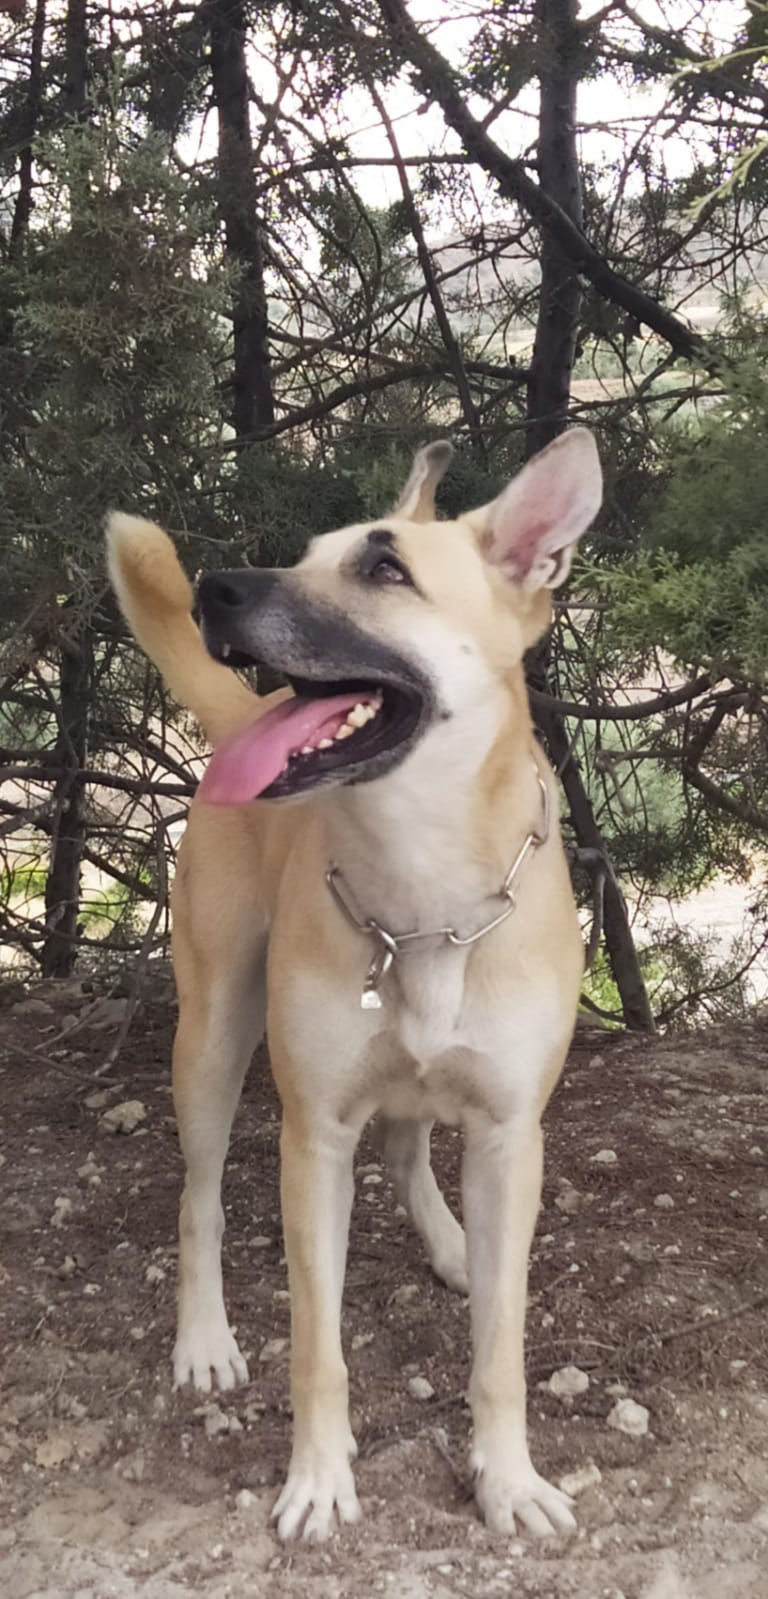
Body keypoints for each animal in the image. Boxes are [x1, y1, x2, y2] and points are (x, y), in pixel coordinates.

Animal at [106, 427, 602, 1543]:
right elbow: (317, 1348)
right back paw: (204, 1339)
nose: (217, 589)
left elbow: (501, 1349)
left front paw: (509, 1479)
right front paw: (319, 1480)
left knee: (410, 1146)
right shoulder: (314, 1137)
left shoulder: (510, 1136)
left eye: (385, 568)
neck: (421, 887)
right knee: (199, 1201)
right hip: (212, 1037)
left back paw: (452, 1244)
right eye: (304, 553)